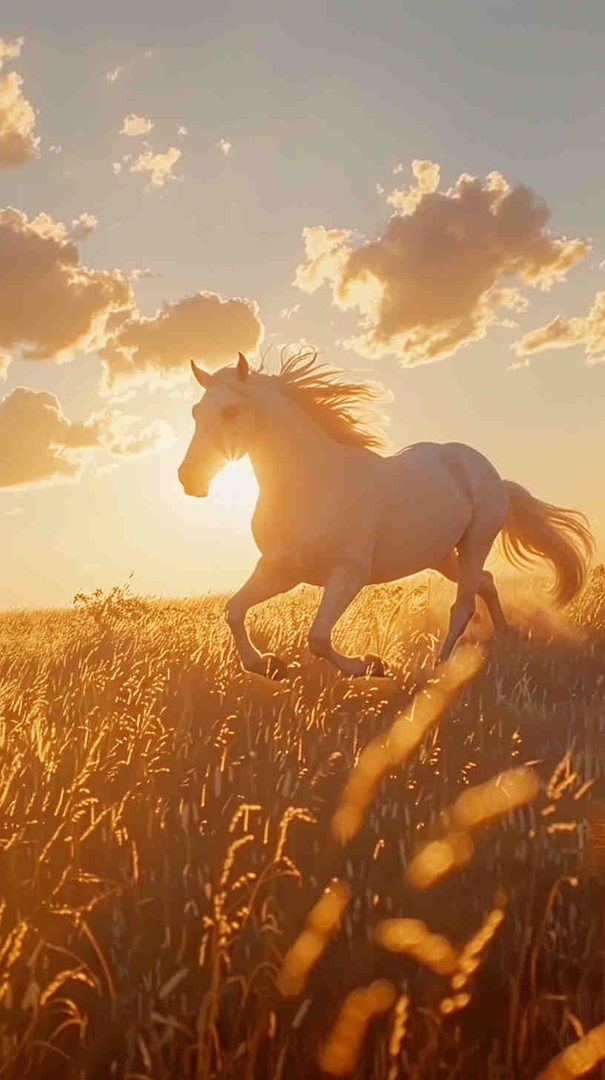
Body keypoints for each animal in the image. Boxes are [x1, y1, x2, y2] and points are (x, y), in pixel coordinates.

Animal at [178, 350, 594, 679]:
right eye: (196, 412)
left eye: (231, 411)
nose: (188, 478)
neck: (312, 484)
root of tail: (491, 475)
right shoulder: (280, 570)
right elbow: (234, 610)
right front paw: (268, 665)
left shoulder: (348, 574)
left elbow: (318, 638)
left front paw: (371, 665)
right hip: (441, 555)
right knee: (487, 583)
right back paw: (507, 636)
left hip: (475, 542)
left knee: (464, 603)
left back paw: (437, 668)